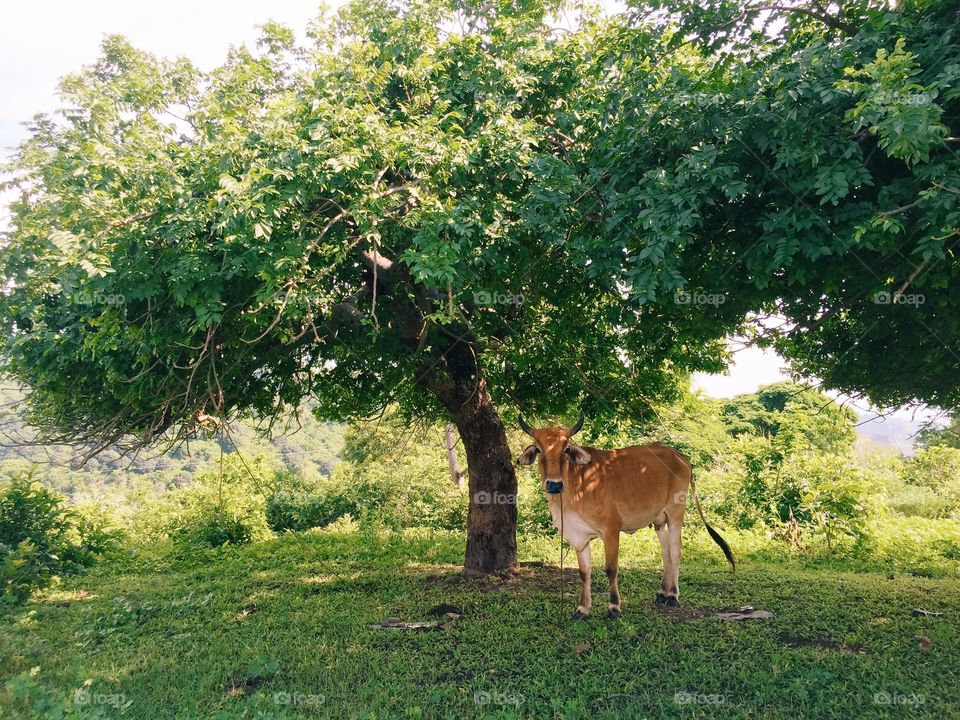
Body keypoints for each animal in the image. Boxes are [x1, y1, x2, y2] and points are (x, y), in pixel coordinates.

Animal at [516, 414, 736, 620]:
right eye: (538, 450)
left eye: (566, 449)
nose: (554, 484)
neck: (575, 486)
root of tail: (680, 455)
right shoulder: (579, 536)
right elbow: (584, 572)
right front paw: (583, 609)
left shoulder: (611, 530)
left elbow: (611, 569)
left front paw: (614, 607)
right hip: (659, 520)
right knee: (665, 552)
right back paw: (662, 593)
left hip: (676, 513)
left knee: (675, 551)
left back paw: (673, 595)